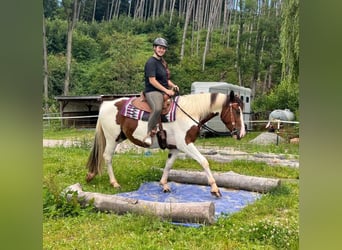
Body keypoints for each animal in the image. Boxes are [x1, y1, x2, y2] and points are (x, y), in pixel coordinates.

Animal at [85, 90, 246, 197]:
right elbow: (204, 161)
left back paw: (91, 175)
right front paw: (215, 189)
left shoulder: (175, 148)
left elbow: (168, 165)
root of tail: (106, 104)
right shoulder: (186, 144)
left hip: (118, 137)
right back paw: (114, 183)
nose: (242, 134)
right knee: (107, 157)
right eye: (237, 111)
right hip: (112, 138)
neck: (190, 113)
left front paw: (164, 185)